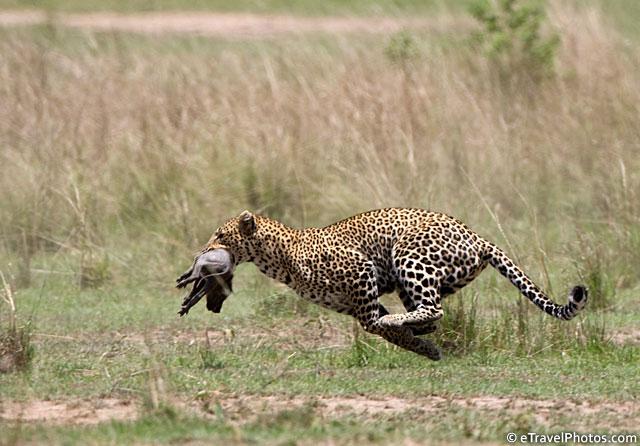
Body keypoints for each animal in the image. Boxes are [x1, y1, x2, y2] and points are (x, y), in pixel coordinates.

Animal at [198, 207, 588, 360]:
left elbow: (375, 324)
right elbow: (378, 328)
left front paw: (414, 339)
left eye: (221, 234)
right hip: (412, 279)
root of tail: (478, 237)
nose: (204, 250)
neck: (279, 255)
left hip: (407, 254)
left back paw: (405, 321)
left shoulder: (361, 270)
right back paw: (417, 329)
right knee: (429, 311)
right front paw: (424, 347)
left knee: (433, 308)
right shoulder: (351, 303)